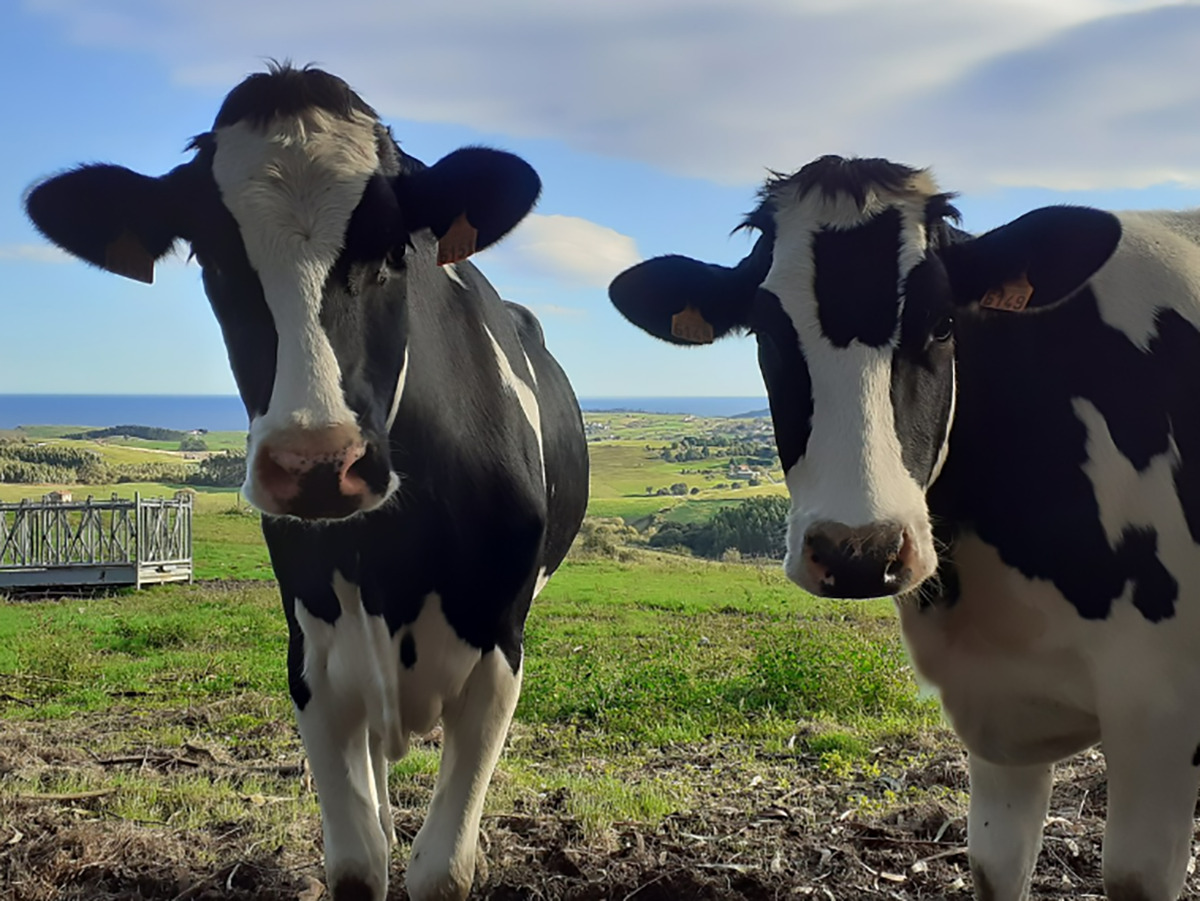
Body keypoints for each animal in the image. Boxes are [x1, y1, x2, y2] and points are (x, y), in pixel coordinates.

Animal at [25, 65, 588, 901]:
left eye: (394, 250)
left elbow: (441, 867)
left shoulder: (497, 653)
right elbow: (357, 862)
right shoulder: (314, 659)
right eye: (213, 258)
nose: (316, 464)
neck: (393, 558)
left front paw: (465, 854)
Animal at [614, 154, 1200, 901]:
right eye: (767, 333)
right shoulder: (995, 711)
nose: (858, 552)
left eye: (944, 323)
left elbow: (1132, 874)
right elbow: (995, 865)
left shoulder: (1162, 716)